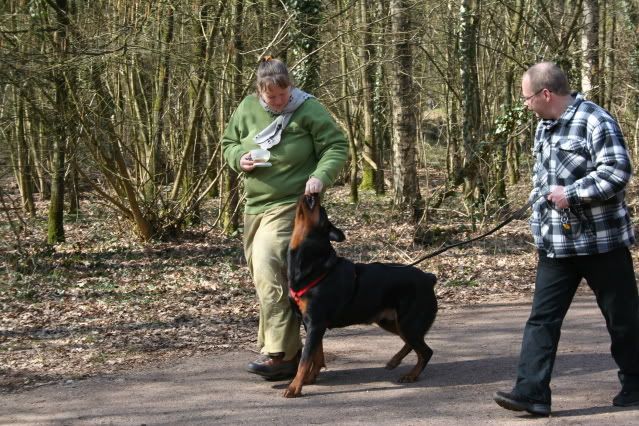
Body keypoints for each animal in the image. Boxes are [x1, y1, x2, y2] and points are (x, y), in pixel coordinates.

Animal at [286, 195, 440, 398]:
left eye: (322, 211)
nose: (314, 195)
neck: (310, 260)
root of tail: (429, 278)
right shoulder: (311, 324)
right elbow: (317, 355)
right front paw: (311, 378)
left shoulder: (316, 323)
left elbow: (305, 359)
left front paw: (295, 387)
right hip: (391, 321)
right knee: (413, 344)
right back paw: (395, 361)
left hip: (409, 322)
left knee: (425, 350)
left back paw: (411, 375)